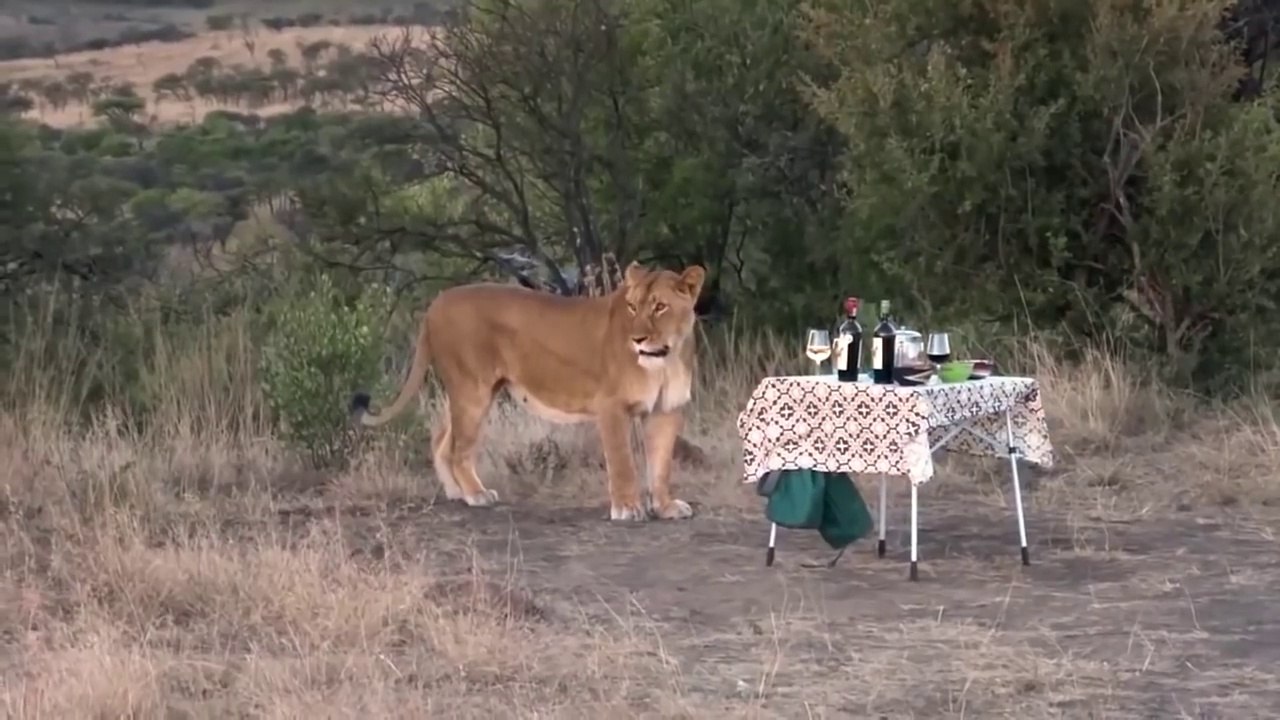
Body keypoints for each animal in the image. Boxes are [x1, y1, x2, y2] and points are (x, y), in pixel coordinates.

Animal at [349, 261, 706, 522]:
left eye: (659, 307)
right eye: (632, 307)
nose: (637, 339)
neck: (665, 359)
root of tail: (437, 302)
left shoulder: (666, 411)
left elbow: (661, 465)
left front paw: (665, 507)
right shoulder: (611, 407)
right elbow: (623, 462)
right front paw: (628, 508)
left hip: (473, 392)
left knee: (441, 439)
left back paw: (457, 492)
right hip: (472, 390)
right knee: (459, 449)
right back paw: (476, 495)